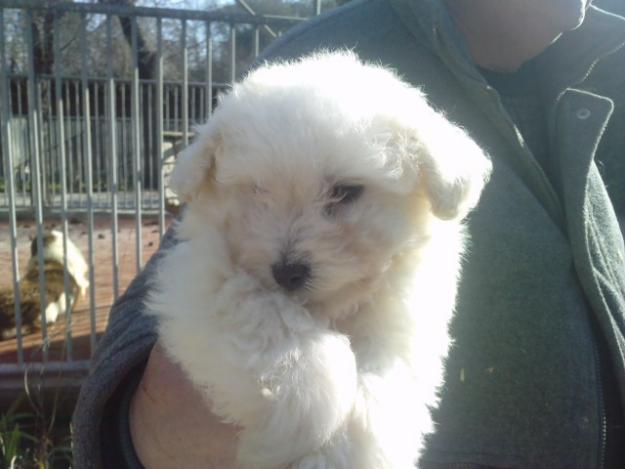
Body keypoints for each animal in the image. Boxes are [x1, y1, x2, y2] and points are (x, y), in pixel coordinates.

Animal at [147, 52, 492, 468]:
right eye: (257, 189)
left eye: (346, 191)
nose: (287, 272)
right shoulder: (198, 276)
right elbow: (264, 317)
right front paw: (309, 406)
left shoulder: (402, 323)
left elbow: (383, 392)